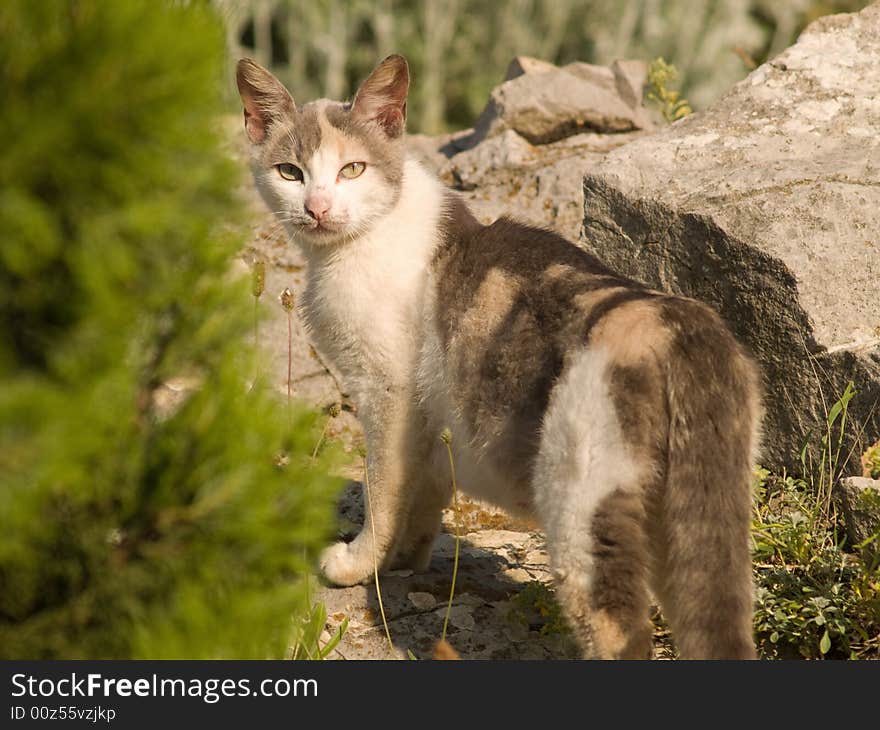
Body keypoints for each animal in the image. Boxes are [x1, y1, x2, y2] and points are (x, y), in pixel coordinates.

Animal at [235, 54, 764, 656]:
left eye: (353, 169)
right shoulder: (430, 419)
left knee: (618, 631)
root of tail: (678, 324)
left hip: (582, 511)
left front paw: (357, 562)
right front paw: (404, 561)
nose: (318, 208)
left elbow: (382, 489)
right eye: (289, 173)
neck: (355, 245)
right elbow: (423, 493)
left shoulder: (387, 392)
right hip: (700, 526)